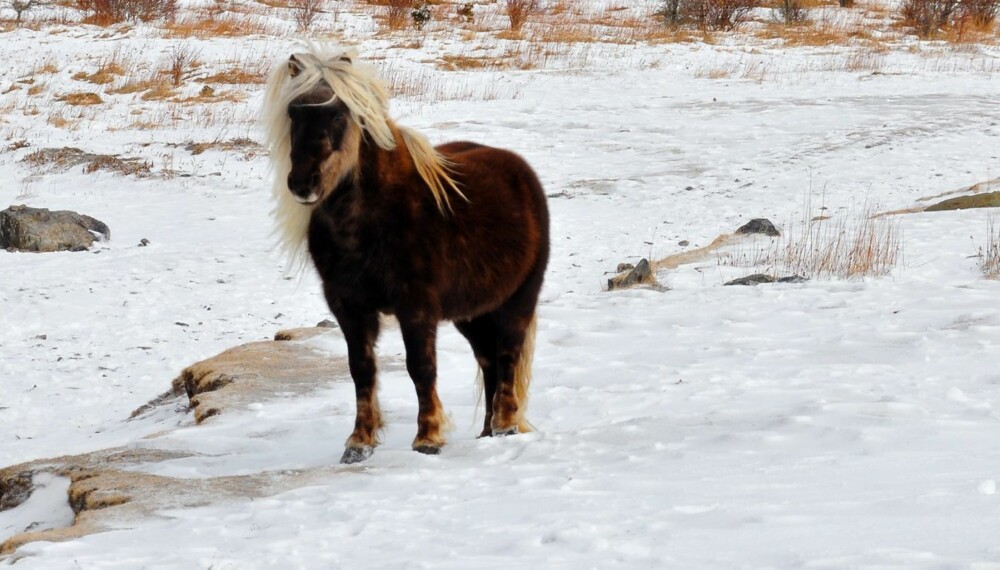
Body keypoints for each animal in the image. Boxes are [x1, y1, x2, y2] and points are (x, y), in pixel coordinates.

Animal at [262, 44, 552, 462]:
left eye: (337, 113)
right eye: (293, 112)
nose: (303, 183)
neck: (372, 215)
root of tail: (522, 173)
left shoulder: (416, 305)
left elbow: (421, 367)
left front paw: (428, 437)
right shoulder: (347, 305)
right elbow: (361, 369)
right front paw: (359, 442)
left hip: (519, 299)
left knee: (508, 356)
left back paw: (505, 425)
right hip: (470, 312)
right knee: (488, 359)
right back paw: (486, 433)